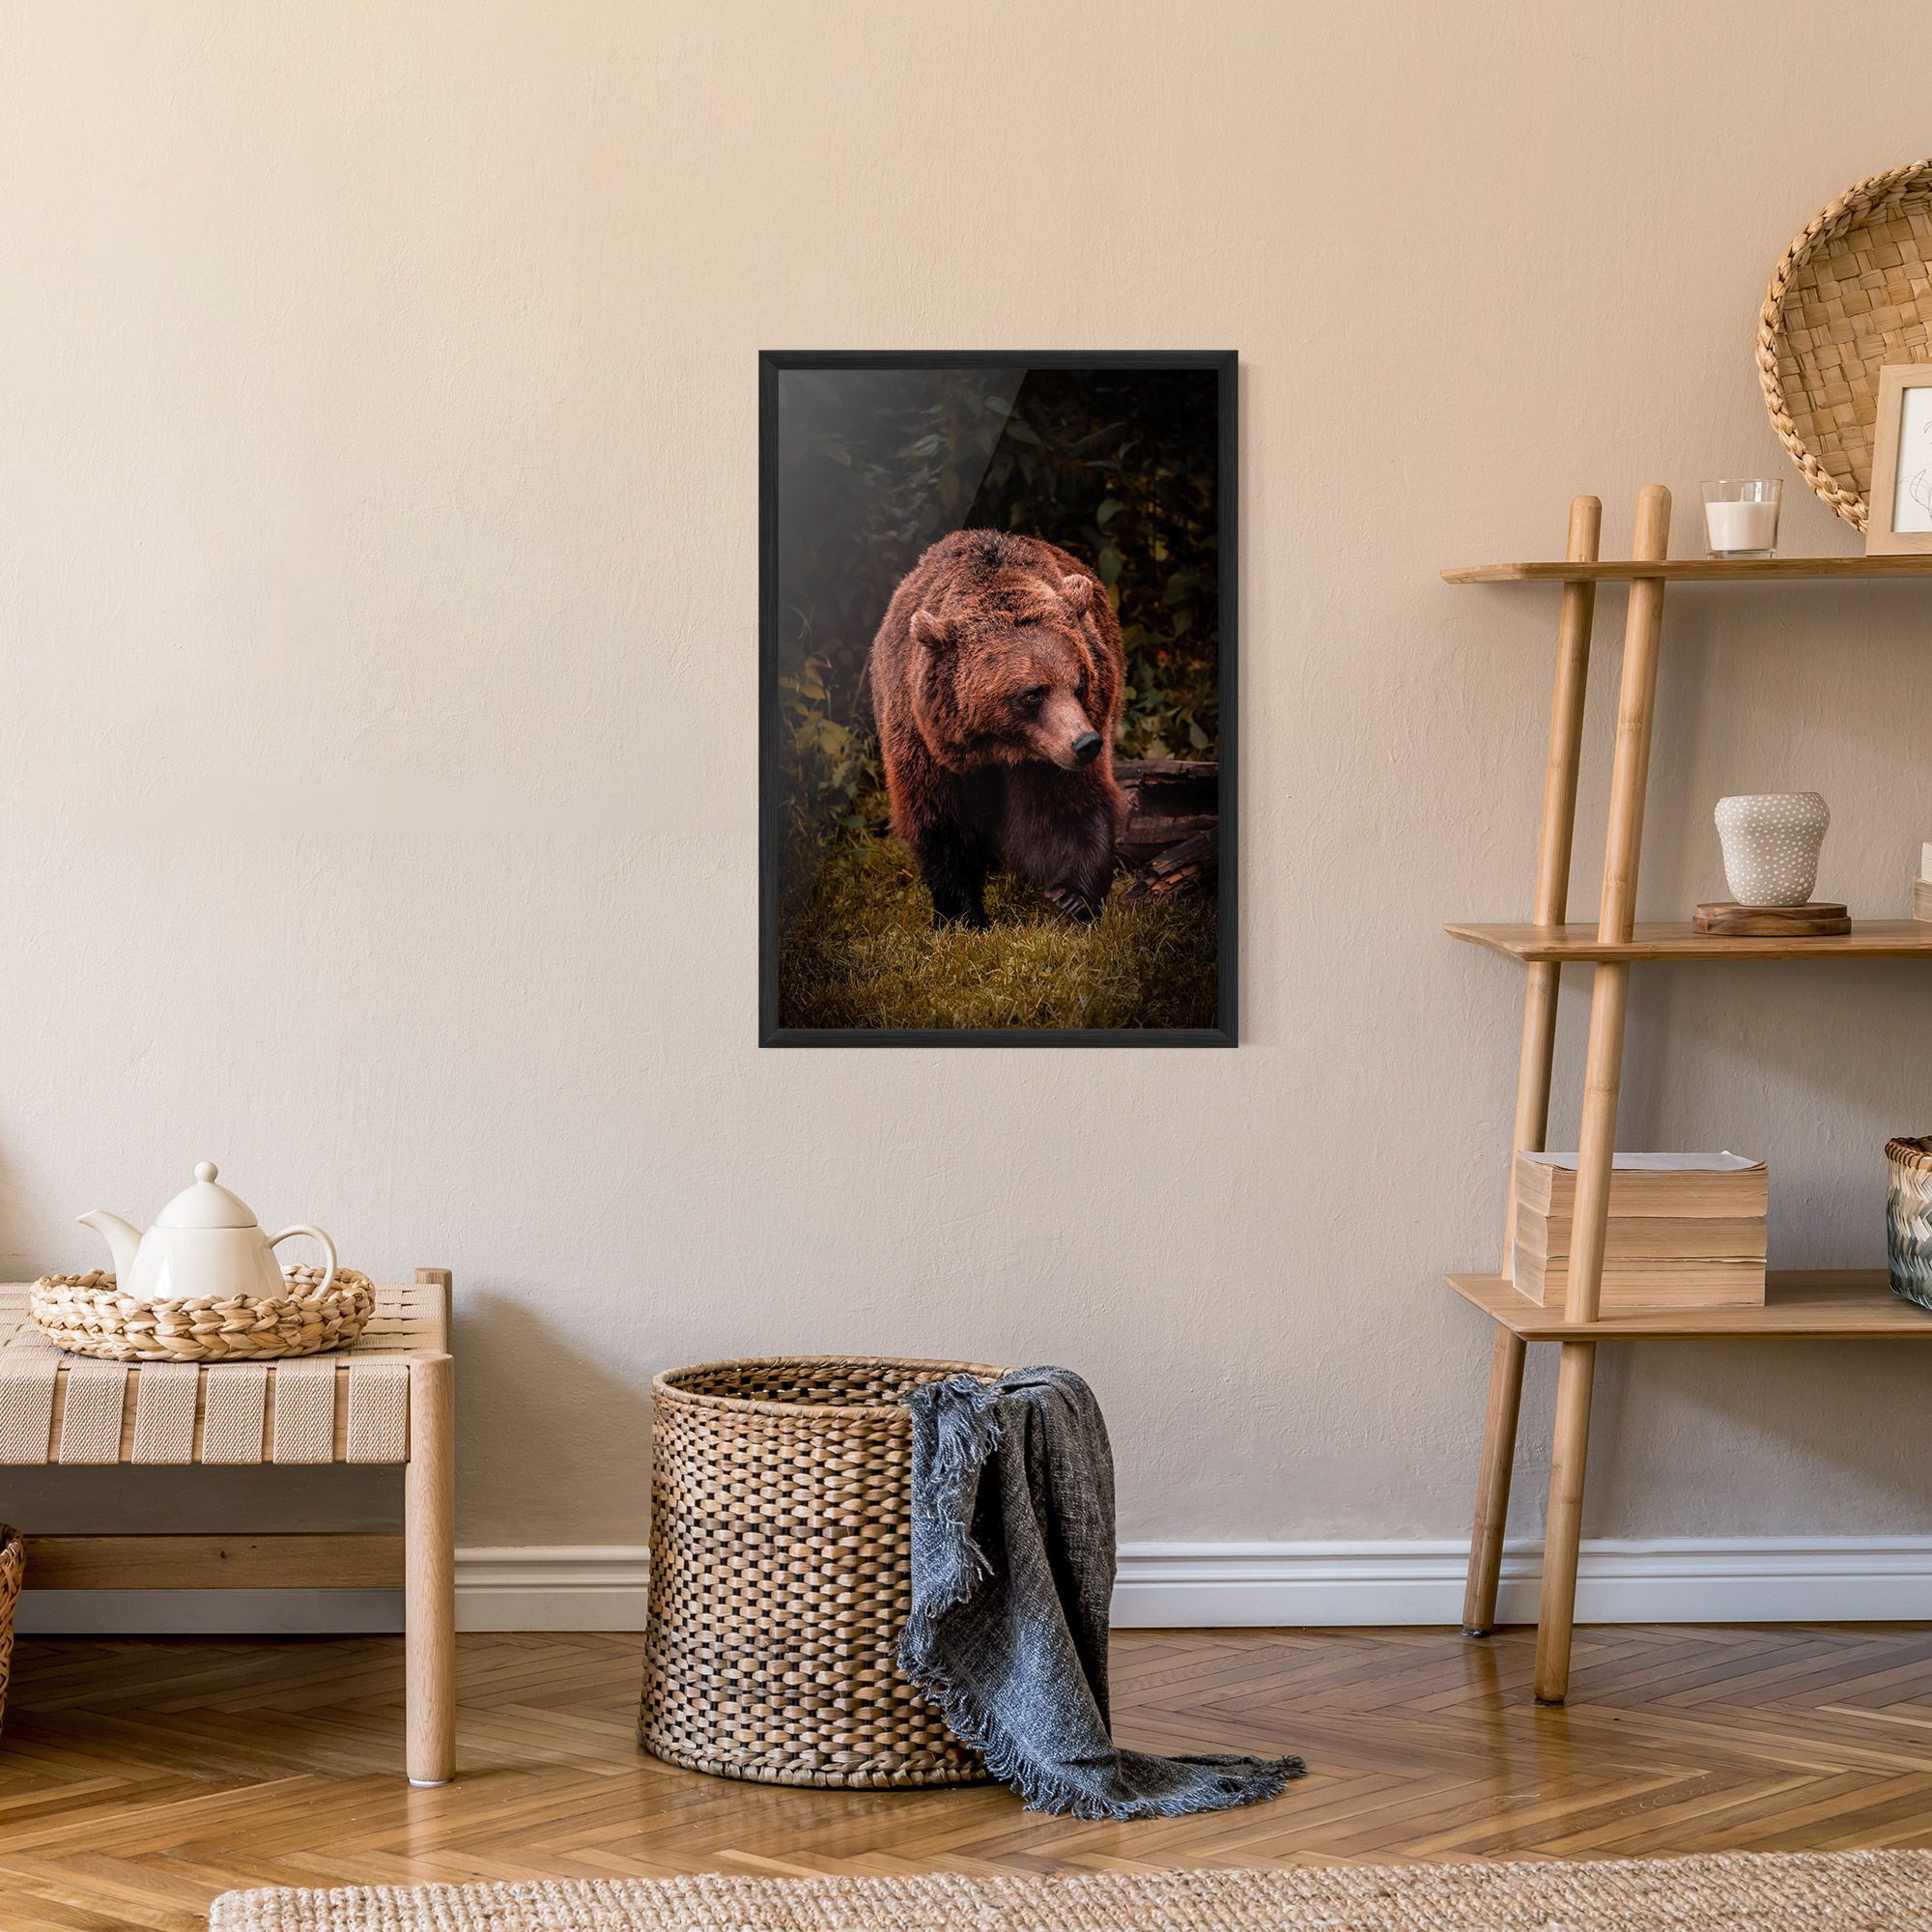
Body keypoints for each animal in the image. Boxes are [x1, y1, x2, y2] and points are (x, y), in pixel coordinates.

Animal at [866, 529, 1127, 929]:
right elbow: (942, 821)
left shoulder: (1050, 754)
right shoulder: (924, 743)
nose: (1086, 743)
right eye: (1032, 693)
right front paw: (961, 915)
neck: (999, 747)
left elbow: (1065, 808)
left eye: (1080, 683)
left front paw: (1073, 896)